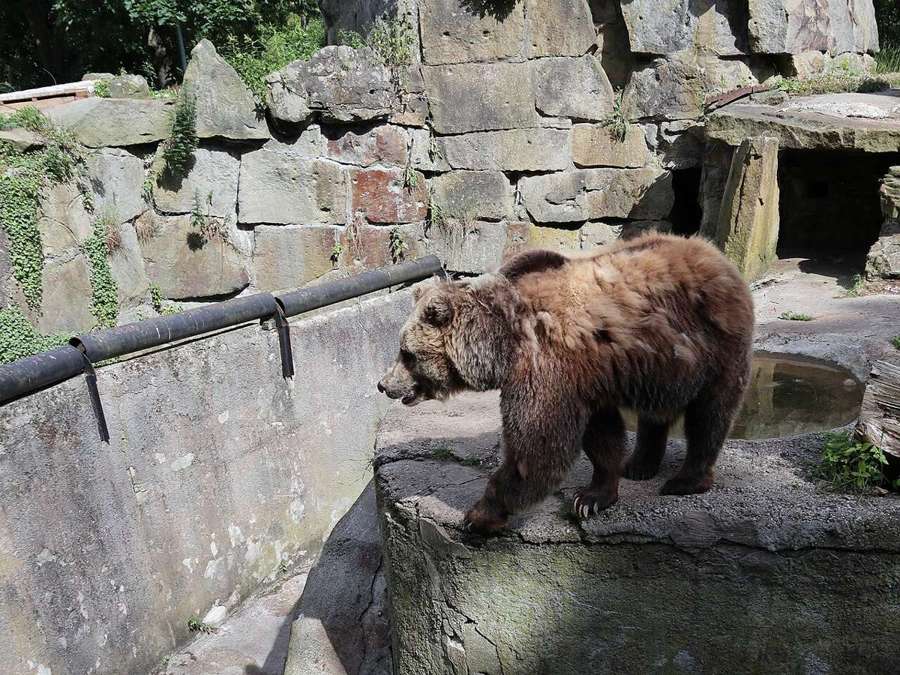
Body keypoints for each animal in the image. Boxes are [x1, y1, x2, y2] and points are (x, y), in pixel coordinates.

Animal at [377, 233, 754, 535]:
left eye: (406, 353)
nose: (383, 384)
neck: (502, 344)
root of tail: (711, 250)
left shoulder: (547, 368)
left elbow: (536, 449)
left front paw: (479, 515)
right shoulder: (587, 380)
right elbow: (601, 437)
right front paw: (594, 495)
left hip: (714, 346)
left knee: (710, 414)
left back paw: (686, 479)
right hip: (661, 367)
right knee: (656, 411)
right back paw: (640, 464)